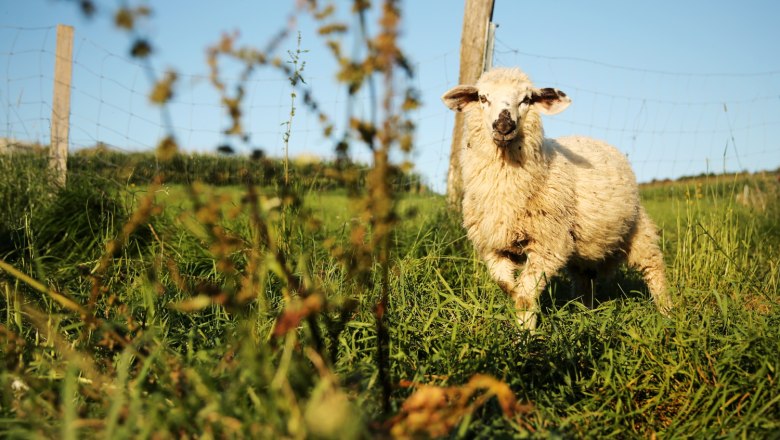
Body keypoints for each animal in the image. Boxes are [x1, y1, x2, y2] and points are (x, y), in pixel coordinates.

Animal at [442, 67, 672, 330]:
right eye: (482, 97)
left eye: (527, 99)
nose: (503, 125)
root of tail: (595, 139)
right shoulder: (492, 245)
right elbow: (508, 286)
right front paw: (517, 306)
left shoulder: (549, 243)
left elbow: (525, 295)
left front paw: (526, 334)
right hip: (584, 245)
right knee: (585, 278)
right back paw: (586, 313)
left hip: (636, 228)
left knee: (653, 267)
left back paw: (667, 313)